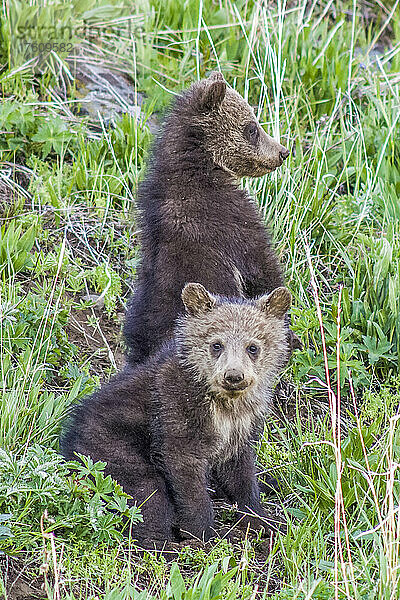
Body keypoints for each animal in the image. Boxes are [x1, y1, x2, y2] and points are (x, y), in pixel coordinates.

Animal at [61, 282, 290, 544]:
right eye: (216, 344)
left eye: (252, 347)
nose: (234, 376)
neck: (223, 404)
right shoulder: (175, 408)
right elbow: (184, 471)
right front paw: (201, 532)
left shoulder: (241, 427)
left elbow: (240, 474)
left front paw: (265, 520)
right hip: (108, 451)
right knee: (144, 494)